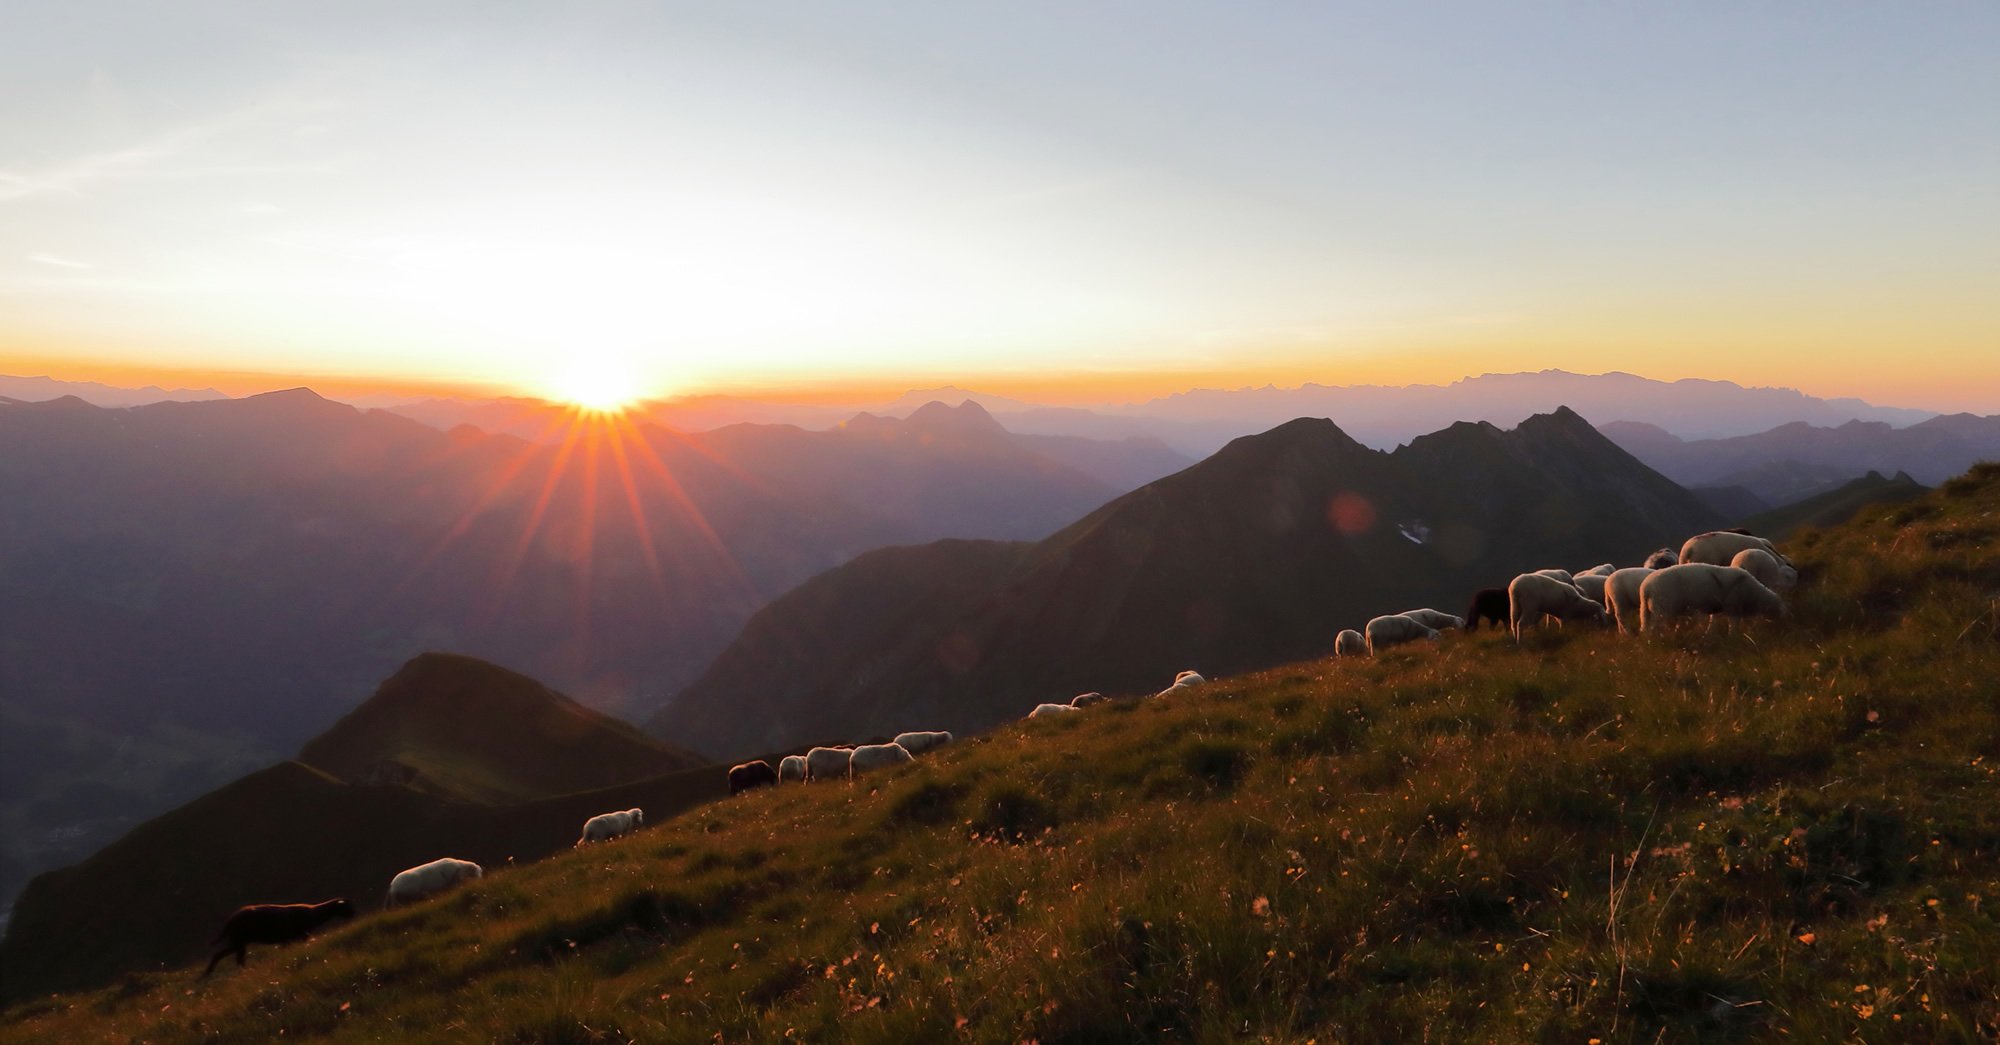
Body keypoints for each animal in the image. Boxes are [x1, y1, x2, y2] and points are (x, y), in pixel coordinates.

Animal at [199, 888, 352, 972]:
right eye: (347, 907)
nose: (353, 914)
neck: (314, 913)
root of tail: (230, 920)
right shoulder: (298, 936)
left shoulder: (289, 940)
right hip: (239, 941)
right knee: (232, 958)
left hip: (238, 942)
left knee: (224, 956)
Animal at [1640, 556, 1784, 628]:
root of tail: (1645, 588)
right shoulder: (1733, 606)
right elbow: (1733, 626)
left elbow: (1712, 623)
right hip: (1663, 610)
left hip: (1648, 611)